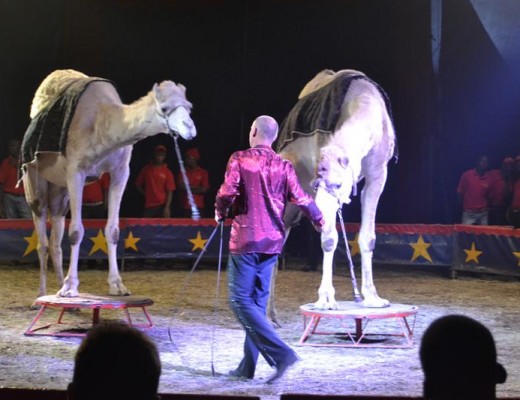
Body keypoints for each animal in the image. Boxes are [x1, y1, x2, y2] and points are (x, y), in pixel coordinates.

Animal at [21, 69, 196, 298]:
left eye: (189, 106)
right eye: (165, 108)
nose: (190, 128)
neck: (101, 123)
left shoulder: (121, 171)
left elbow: (113, 230)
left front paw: (117, 286)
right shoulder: (75, 171)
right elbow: (76, 231)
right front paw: (70, 287)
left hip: (59, 188)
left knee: (55, 237)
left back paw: (59, 288)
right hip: (33, 176)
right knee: (41, 235)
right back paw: (42, 294)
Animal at [276, 69, 396, 312]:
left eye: (339, 184)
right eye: (317, 182)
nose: (320, 213)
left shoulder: (378, 173)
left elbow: (368, 237)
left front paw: (372, 298)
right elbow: (330, 237)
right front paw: (325, 299)